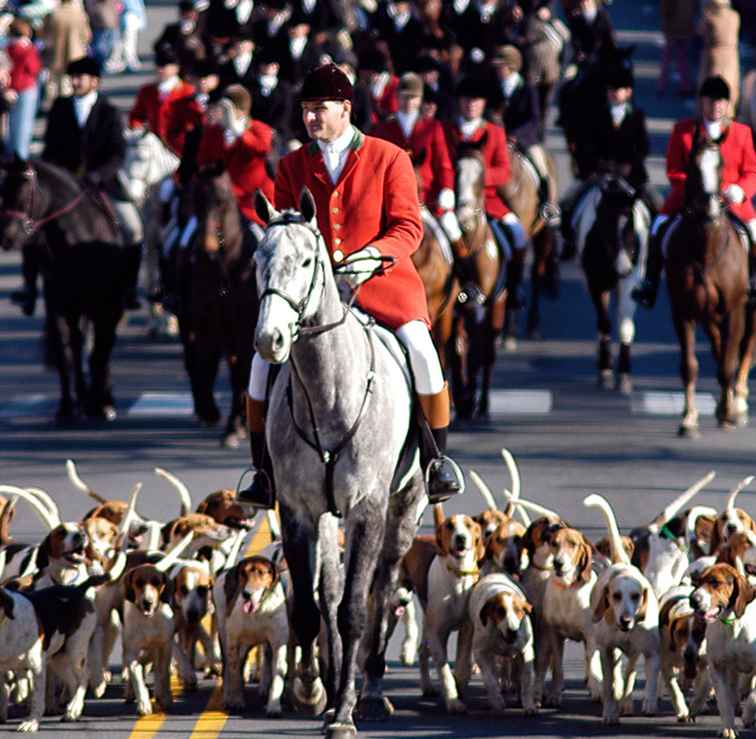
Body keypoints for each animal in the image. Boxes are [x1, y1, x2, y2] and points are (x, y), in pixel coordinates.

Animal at [177, 164, 260, 448]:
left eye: (223, 199)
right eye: (195, 199)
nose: (207, 246)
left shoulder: (244, 329)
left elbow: (240, 373)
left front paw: (234, 427)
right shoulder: (209, 326)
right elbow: (208, 363)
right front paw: (219, 417)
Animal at [254, 188, 428, 736]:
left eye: (308, 261)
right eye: (258, 259)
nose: (269, 340)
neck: (329, 387)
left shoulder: (367, 509)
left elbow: (355, 608)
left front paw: (346, 712)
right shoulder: (299, 510)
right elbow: (312, 609)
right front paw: (316, 691)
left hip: (404, 508)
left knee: (384, 586)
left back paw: (369, 688)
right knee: (329, 590)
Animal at [572, 173, 648, 394]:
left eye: (631, 225)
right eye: (605, 224)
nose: (623, 268)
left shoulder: (630, 280)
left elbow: (625, 325)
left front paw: (624, 375)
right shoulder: (595, 282)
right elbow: (604, 324)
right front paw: (605, 369)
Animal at [664, 134, 752, 436]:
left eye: (721, 165)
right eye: (693, 164)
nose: (708, 208)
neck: (706, 250)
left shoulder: (735, 311)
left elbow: (728, 364)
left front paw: (728, 414)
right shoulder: (682, 312)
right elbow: (689, 365)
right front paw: (688, 419)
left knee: (741, 351)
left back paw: (737, 403)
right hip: (710, 316)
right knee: (719, 349)